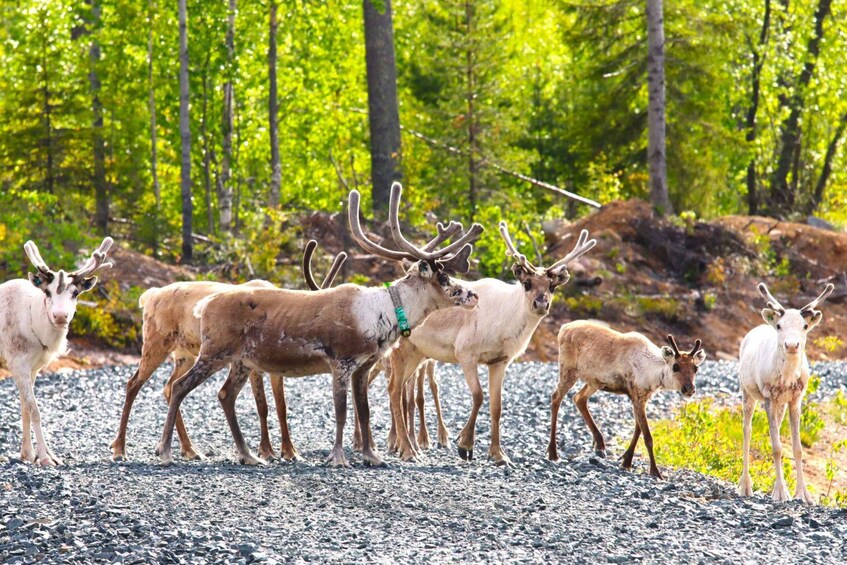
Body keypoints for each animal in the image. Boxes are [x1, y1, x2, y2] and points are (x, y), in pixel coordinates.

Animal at [548, 322, 704, 476]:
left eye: (695, 368)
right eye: (675, 367)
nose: (689, 389)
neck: (652, 372)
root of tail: (563, 329)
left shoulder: (641, 398)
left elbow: (638, 430)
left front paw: (626, 461)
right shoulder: (637, 396)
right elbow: (647, 436)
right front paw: (655, 471)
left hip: (594, 382)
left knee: (579, 398)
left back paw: (600, 446)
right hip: (568, 370)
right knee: (556, 398)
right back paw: (553, 453)